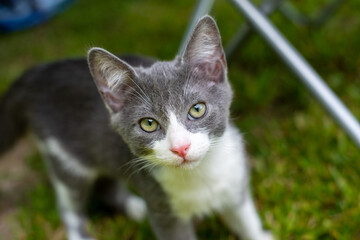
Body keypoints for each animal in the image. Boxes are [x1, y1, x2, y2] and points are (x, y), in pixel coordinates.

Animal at [0, 15, 272, 239]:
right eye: (148, 124)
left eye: (197, 109)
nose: (181, 147)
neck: (199, 174)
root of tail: (38, 72)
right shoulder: (163, 210)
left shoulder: (234, 179)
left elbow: (245, 219)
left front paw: (260, 234)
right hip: (64, 157)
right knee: (70, 203)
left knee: (106, 185)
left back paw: (137, 209)